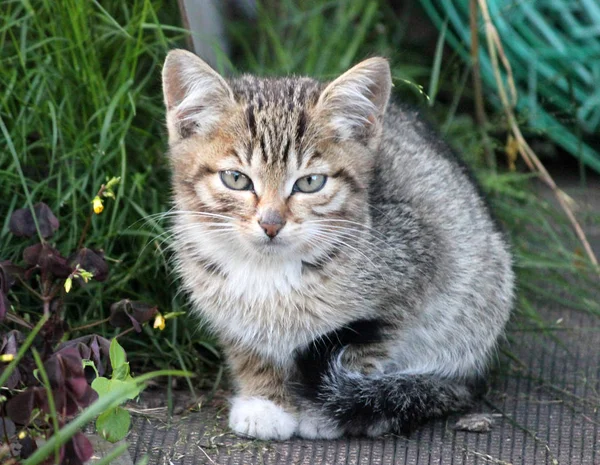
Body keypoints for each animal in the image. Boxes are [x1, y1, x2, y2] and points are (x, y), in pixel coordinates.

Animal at [162, 49, 512, 438]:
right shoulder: (228, 316)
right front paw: (265, 403)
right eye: (236, 179)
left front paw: (324, 411)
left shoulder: (411, 279)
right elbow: (251, 353)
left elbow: (367, 350)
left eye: (310, 182)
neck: (269, 274)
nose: (271, 223)